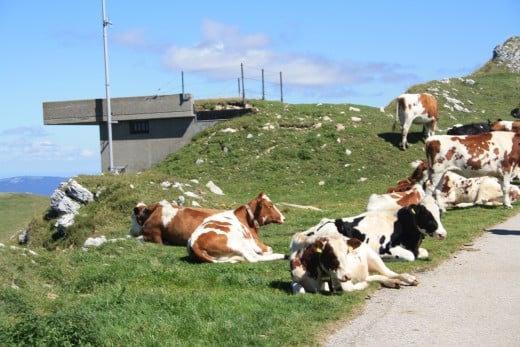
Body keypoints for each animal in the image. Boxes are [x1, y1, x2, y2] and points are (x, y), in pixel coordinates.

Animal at [288, 230, 418, 294]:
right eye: (330, 254)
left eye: (347, 252)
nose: (348, 276)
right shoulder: (297, 279)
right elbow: (300, 291)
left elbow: (349, 288)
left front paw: (363, 285)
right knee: (373, 277)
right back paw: (392, 282)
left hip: (373, 257)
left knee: (390, 273)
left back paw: (408, 278)